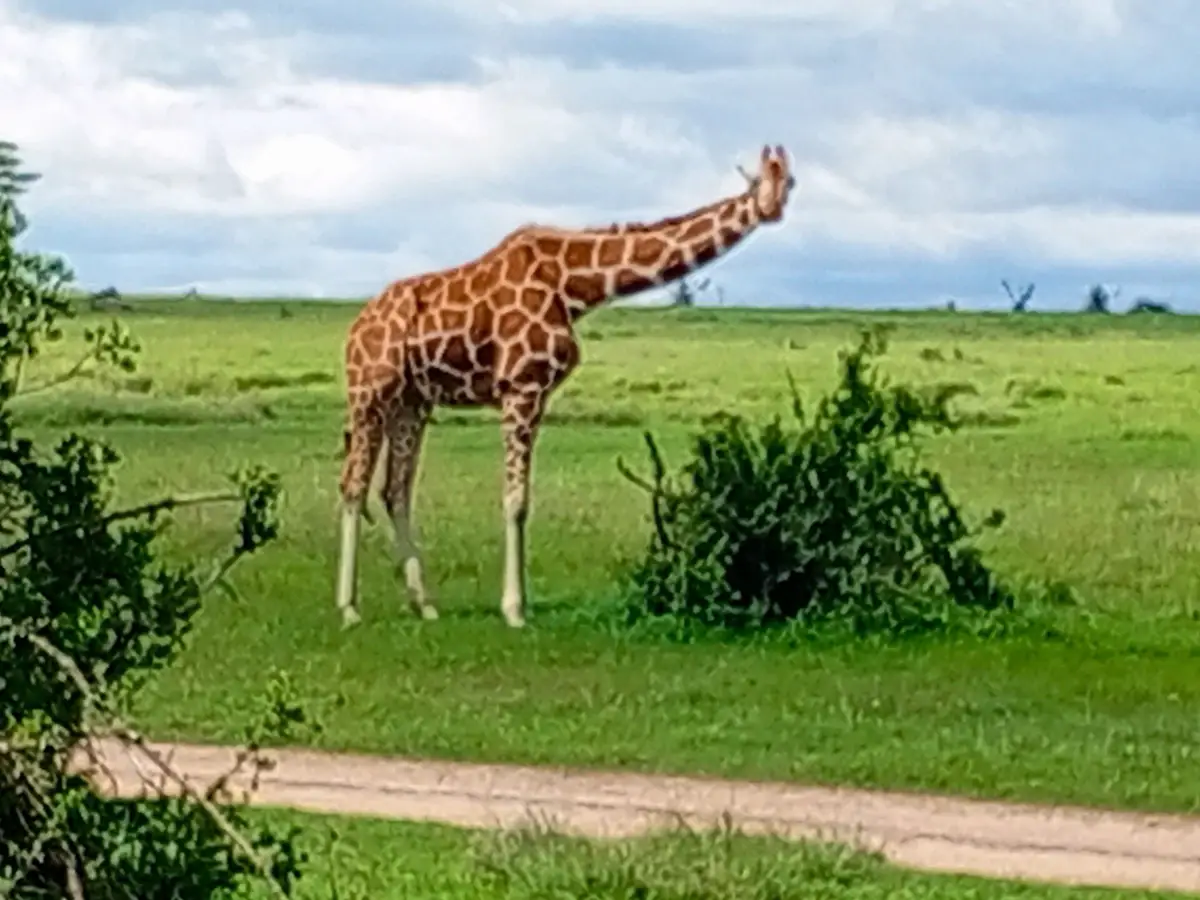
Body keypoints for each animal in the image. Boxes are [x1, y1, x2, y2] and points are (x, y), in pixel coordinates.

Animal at [336, 143, 796, 628]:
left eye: (791, 181)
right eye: (761, 181)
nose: (772, 209)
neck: (574, 286)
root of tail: (356, 328)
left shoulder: (532, 393)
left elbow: (520, 498)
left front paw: (513, 605)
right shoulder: (521, 386)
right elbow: (515, 500)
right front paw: (515, 611)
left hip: (412, 402)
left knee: (394, 490)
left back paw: (424, 604)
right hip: (369, 392)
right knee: (353, 485)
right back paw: (349, 608)